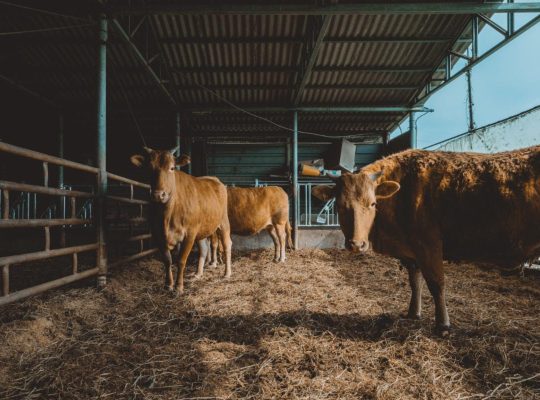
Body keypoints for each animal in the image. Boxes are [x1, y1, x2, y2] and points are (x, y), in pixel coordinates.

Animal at [130, 147, 232, 294]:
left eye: (172, 168)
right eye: (149, 168)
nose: (158, 195)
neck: (167, 216)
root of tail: (214, 180)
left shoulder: (189, 234)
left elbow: (181, 260)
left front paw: (178, 287)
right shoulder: (157, 234)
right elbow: (167, 260)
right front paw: (168, 285)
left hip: (223, 222)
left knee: (227, 244)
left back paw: (227, 273)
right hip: (201, 229)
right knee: (204, 249)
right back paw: (198, 274)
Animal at [312, 146, 540, 334]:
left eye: (373, 203)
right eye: (339, 206)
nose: (356, 244)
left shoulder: (428, 246)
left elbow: (436, 283)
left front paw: (443, 325)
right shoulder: (412, 253)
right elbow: (415, 283)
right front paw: (414, 313)